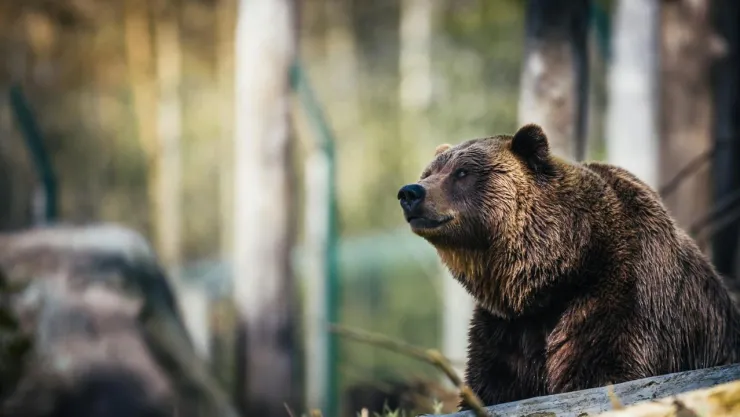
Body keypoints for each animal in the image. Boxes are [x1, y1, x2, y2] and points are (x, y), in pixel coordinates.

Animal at [396, 123, 740, 409]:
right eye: (429, 171)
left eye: (463, 172)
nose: (410, 192)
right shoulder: (507, 328)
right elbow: (492, 384)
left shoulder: (620, 294)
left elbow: (603, 369)